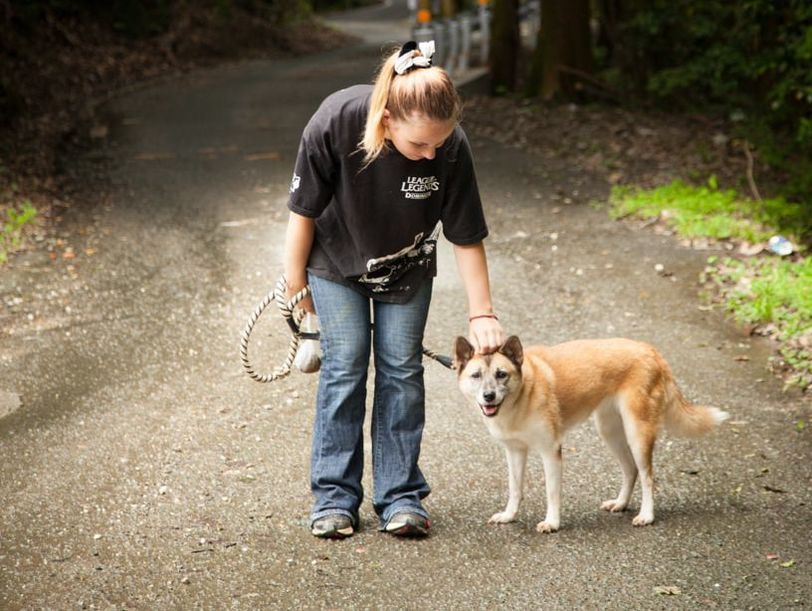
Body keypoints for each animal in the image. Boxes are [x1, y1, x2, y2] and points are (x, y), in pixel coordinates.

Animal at [456, 338, 728, 532]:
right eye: (476, 375)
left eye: (501, 374)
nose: (488, 396)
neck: (521, 397)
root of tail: (652, 352)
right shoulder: (514, 451)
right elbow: (515, 488)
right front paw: (509, 515)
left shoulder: (550, 452)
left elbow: (551, 492)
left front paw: (552, 522)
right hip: (610, 431)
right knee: (630, 470)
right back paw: (620, 503)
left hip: (637, 433)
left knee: (648, 476)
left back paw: (646, 515)